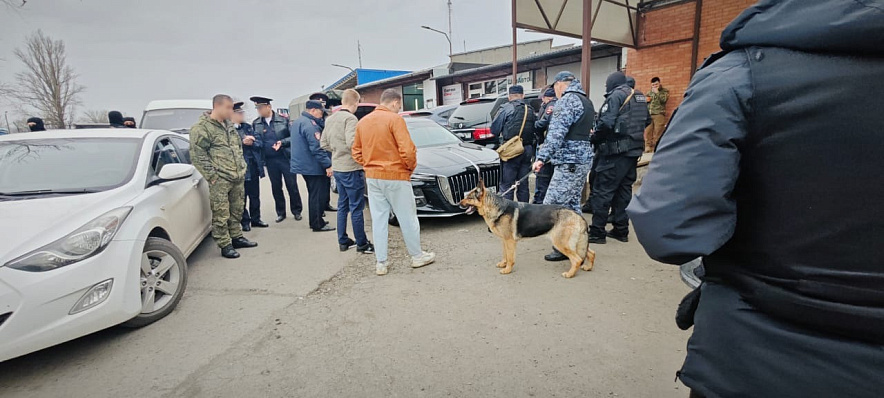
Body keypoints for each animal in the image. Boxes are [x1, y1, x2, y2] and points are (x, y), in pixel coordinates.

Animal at [460, 179, 596, 278]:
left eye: (469, 198)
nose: (458, 204)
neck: (496, 207)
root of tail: (578, 215)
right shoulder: (504, 241)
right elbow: (505, 254)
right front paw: (503, 264)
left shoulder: (510, 241)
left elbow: (510, 257)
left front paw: (507, 269)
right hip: (577, 243)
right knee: (591, 253)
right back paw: (588, 267)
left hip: (561, 243)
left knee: (577, 259)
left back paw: (569, 274)